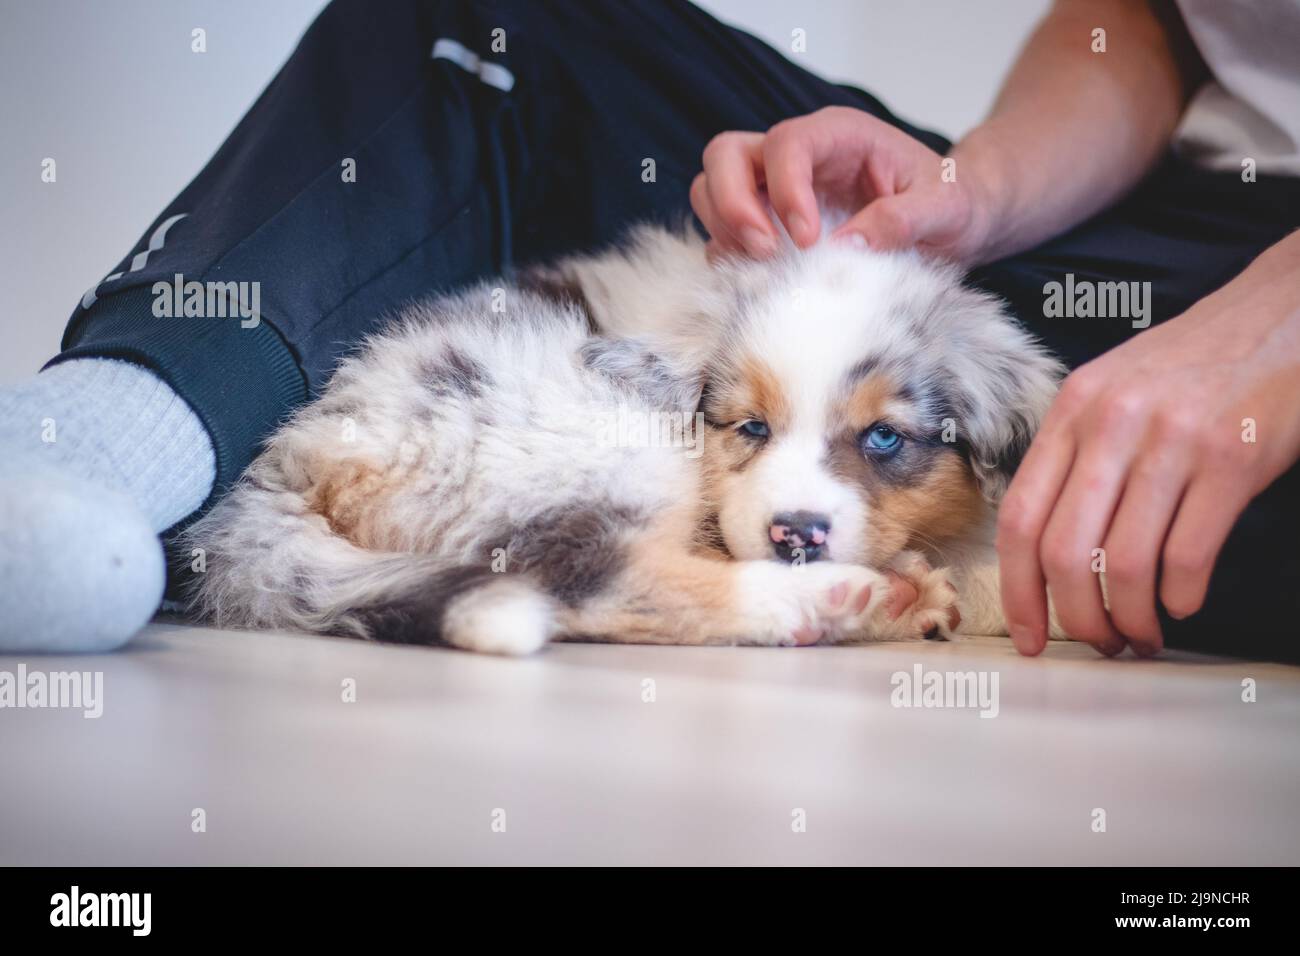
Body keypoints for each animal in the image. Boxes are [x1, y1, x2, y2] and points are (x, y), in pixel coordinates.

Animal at [188, 227, 1071, 655]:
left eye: (884, 438)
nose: (796, 535)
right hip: (600, 446)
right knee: (587, 581)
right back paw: (837, 600)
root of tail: (295, 452)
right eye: (751, 427)